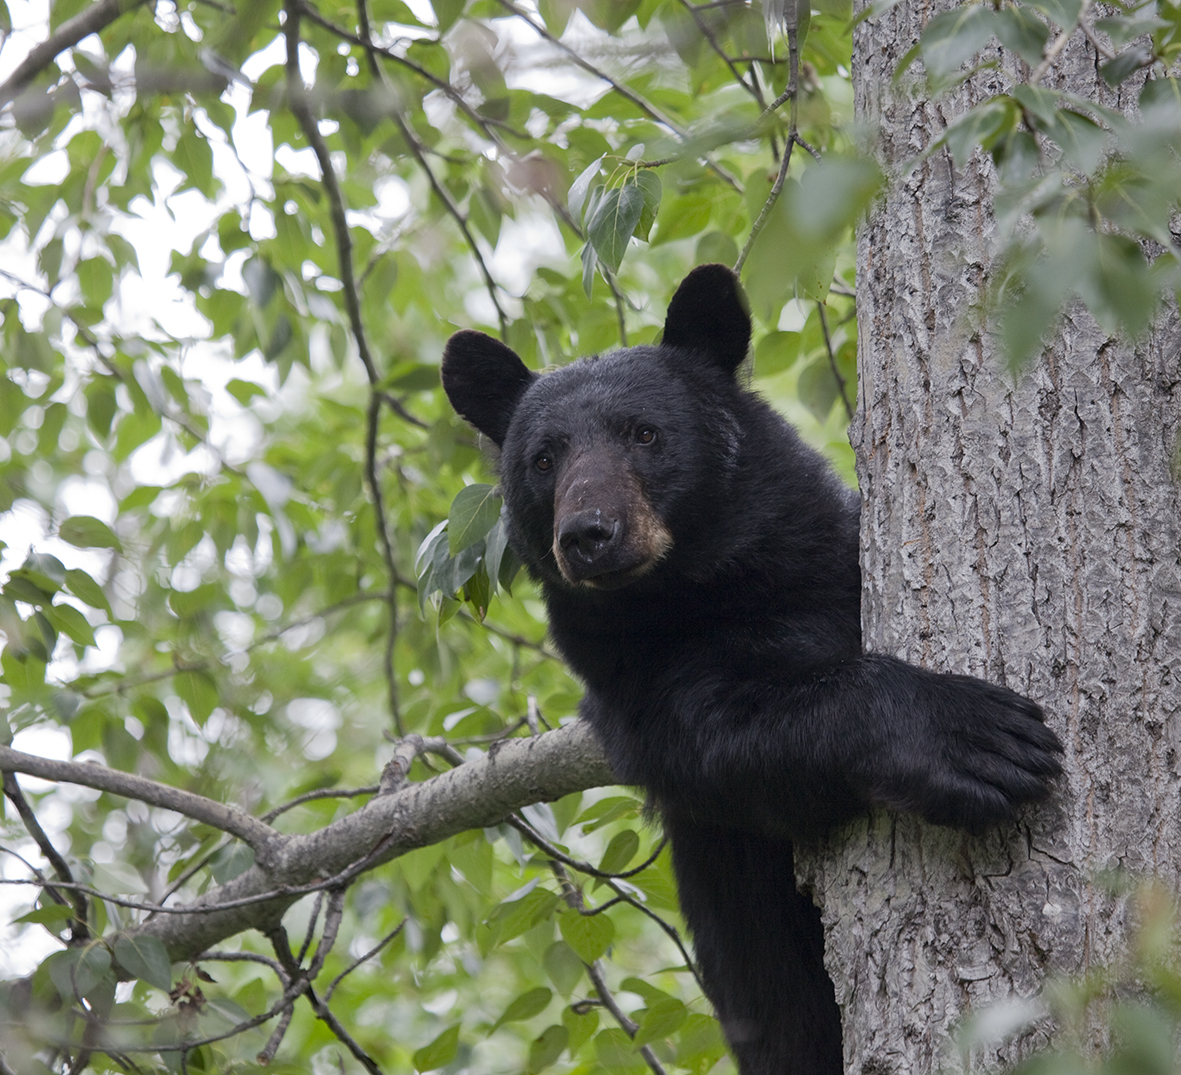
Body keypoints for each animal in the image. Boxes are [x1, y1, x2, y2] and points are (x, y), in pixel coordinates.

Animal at [441, 263, 1062, 1075]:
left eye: (645, 433)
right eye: (542, 459)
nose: (587, 534)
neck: (707, 590)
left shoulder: (823, 559)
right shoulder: (638, 691)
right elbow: (733, 743)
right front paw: (968, 734)